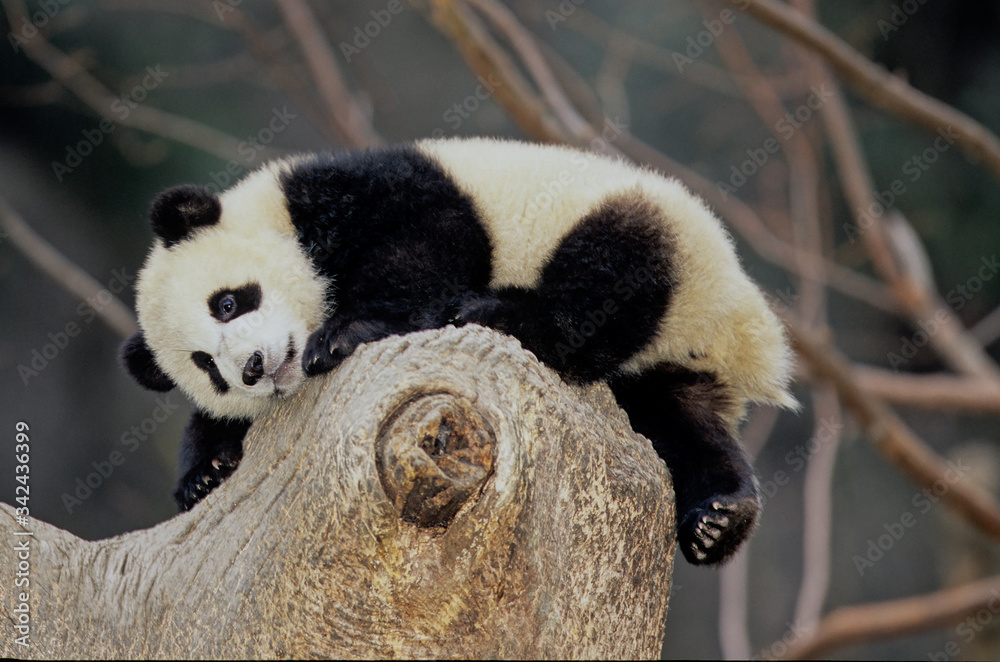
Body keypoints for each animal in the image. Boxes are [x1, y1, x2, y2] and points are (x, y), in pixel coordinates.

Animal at [120, 137, 796, 566]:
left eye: (227, 302)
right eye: (207, 368)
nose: (253, 368)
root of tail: (744, 328)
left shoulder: (363, 193)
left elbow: (423, 249)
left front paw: (345, 333)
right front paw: (206, 470)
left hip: (641, 229)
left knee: (605, 279)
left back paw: (499, 312)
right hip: (666, 368)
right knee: (681, 422)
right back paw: (718, 518)